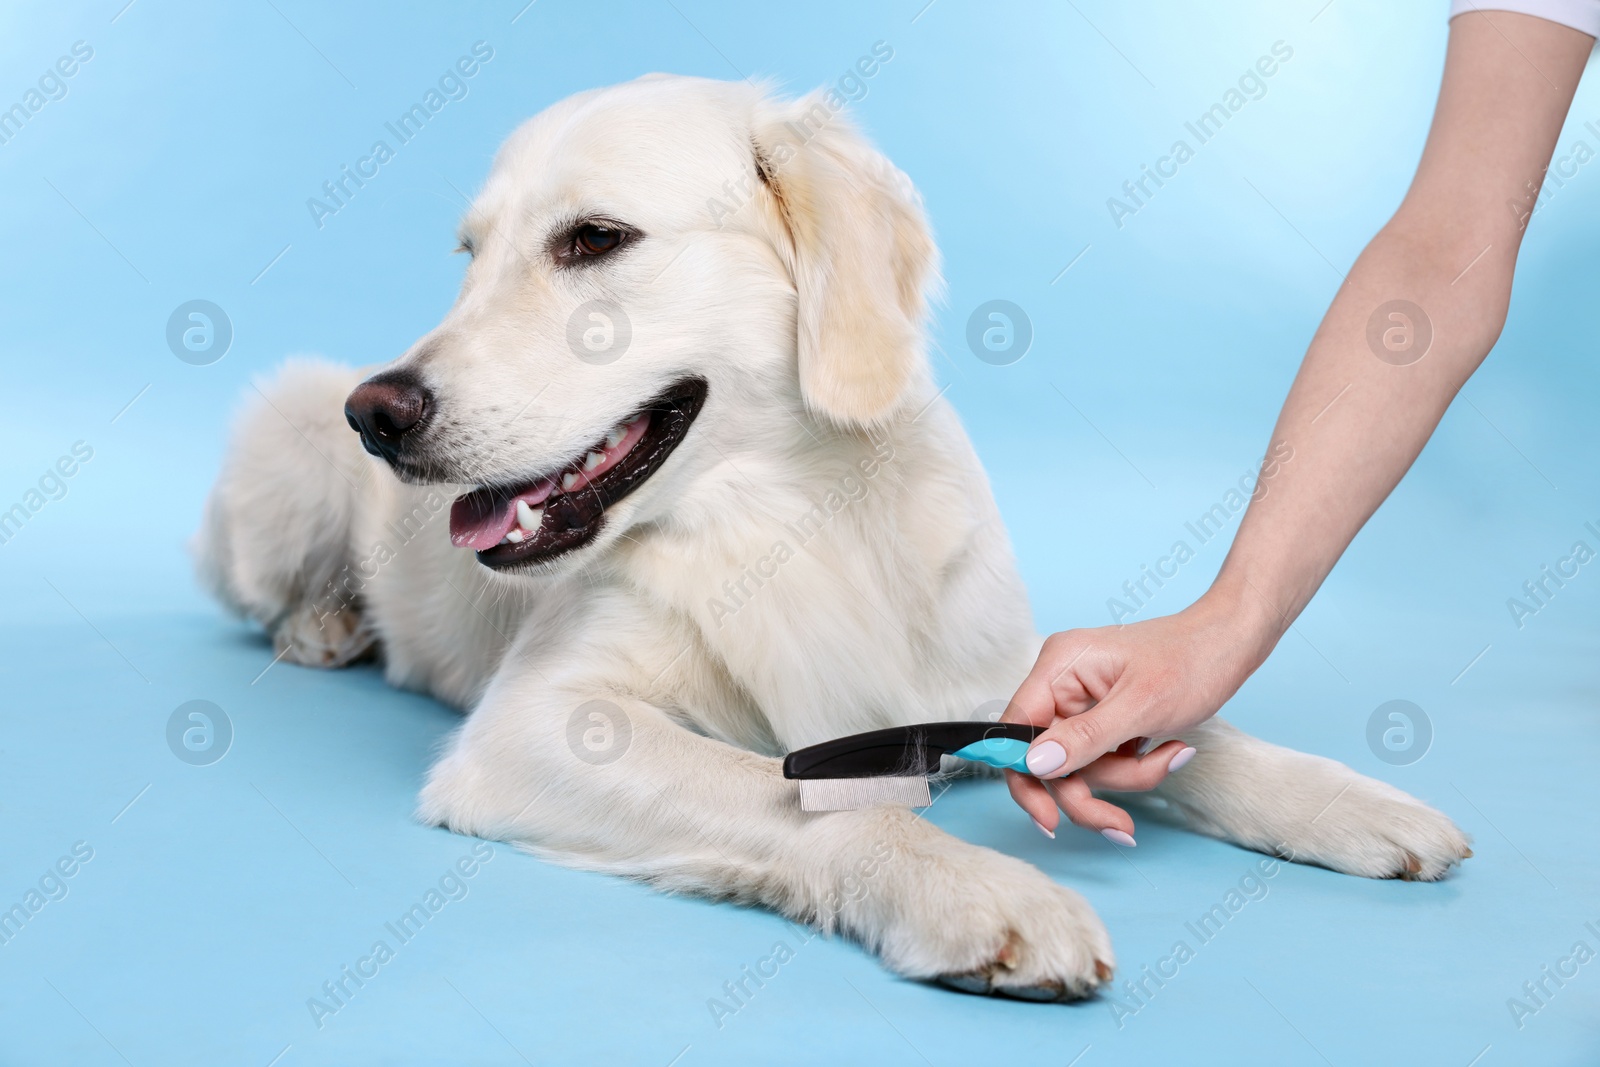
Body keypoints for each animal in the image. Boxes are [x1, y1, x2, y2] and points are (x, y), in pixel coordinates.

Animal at [200, 73, 1472, 1004]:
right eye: (474, 256)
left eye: (593, 238)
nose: (381, 413)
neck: (787, 516)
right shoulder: (536, 727)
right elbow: (796, 795)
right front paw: (976, 890)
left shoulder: (992, 669)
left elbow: (1193, 725)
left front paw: (1347, 801)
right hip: (284, 438)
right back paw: (323, 623)